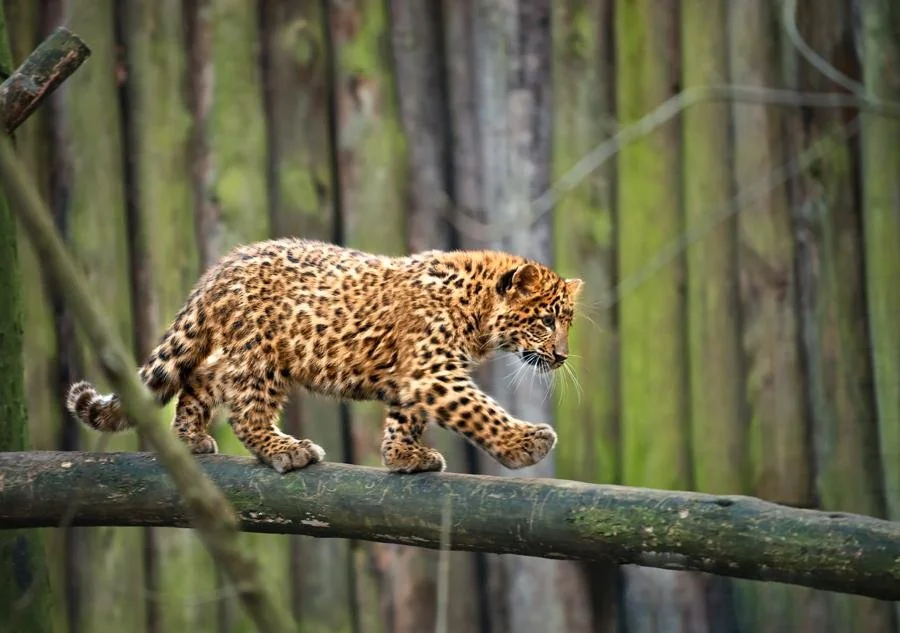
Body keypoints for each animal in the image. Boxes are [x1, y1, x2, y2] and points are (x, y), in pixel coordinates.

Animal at [65, 238, 584, 474]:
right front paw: (525, 443)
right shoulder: (431, 372)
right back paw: (287, 449)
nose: (562, 357)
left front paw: (403, 455)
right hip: (260, 356)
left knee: (202, 378)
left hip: (251, 355)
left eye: (568, 323)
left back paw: (191, 438)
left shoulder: (413, 376)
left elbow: (404, 417)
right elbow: (479, 410)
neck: (477, 312)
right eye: (545, 321)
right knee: (245, 412)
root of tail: (220, 269)